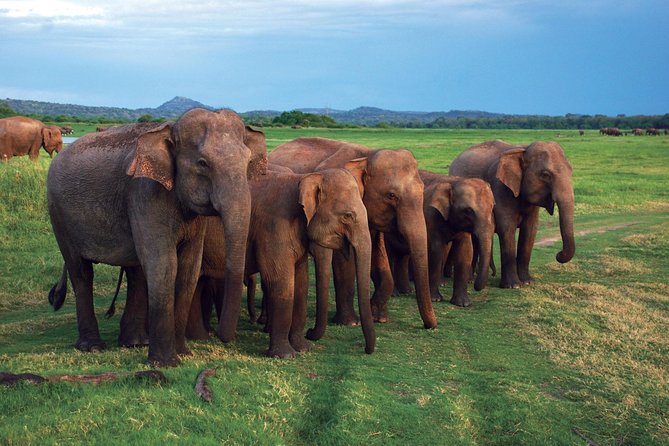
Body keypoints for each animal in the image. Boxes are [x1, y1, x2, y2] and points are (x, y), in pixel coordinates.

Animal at [46, 108, 267, 366]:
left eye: (248, 161)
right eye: (203, 163)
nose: (222, 337)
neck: (169, 129)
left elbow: (189, 269)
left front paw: (184, 354)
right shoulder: (144, 192)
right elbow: (164, 265)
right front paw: (166, 363)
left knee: (135, 272)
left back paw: (134, 343)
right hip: (58, 215)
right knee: (81, 272)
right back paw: (92, 347)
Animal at [185, 165, 375, 358]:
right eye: (348, 216)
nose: (367, 351)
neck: (304, 178)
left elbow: (301, 282)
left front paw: (303, 348)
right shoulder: (274, 227)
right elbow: (279, 282)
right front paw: (285, 355)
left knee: (194, 282)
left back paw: (200, 338)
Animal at [269, 137, 438, 330]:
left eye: (423, 189)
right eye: (391, 195)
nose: (430, 327)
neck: (367, 155)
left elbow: (377, 253)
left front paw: (378, 316)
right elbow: (345, 260)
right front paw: (351, 322)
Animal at [385, 171, 495, 307]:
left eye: (492, 207)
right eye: (468, 210)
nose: (475, 286)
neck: (454, 183)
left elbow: (465, 251)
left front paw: (463, 304)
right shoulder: (431, 215)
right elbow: (435, 251)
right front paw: (435, 299)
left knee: (403, 256)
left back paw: (406, 291)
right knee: (390, 254)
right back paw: (395, 294)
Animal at [449, 140, 575, 289]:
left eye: (571, 171)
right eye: (545, 175)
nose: (558, 254)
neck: (523, 150)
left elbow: (530, 230)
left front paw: (528, 281)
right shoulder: (501, 188)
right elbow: (507, 228)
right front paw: (513, 286)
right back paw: (469, 280)